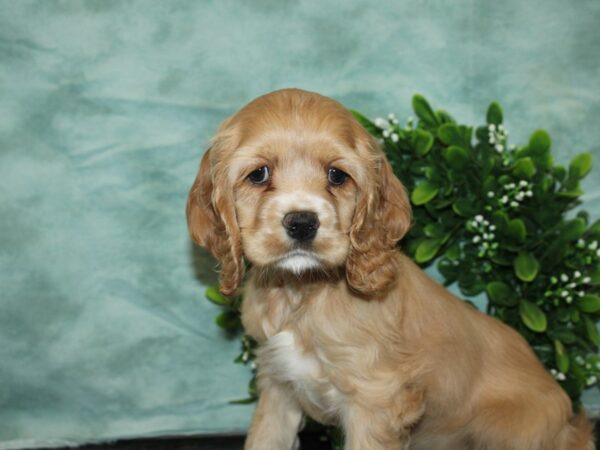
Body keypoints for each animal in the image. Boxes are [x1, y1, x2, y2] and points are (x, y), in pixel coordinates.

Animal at [189, 89, 596, 450]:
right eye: (258, 174)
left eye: (337, 176)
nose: (302, 223)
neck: (302, 294)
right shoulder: (278, 384)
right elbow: (265, 438)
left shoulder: (376, 401)